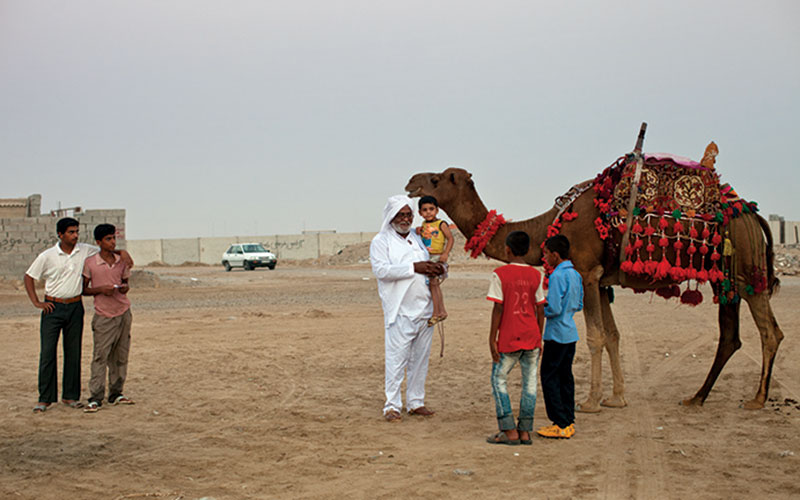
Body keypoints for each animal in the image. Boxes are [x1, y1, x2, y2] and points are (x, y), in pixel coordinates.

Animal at [405, 161, 784, 411]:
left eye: (436, 179)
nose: (411, 181)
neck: (549, 226)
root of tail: (752, 213)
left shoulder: (587, 273)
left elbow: (595, 336)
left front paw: (590, 401)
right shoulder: (602, 282)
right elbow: (613, 335)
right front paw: (617, 397)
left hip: (747, 271)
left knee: (769, 332)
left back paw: (757, 398)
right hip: (728, 279)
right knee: (731, 336)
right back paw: (697, 397)